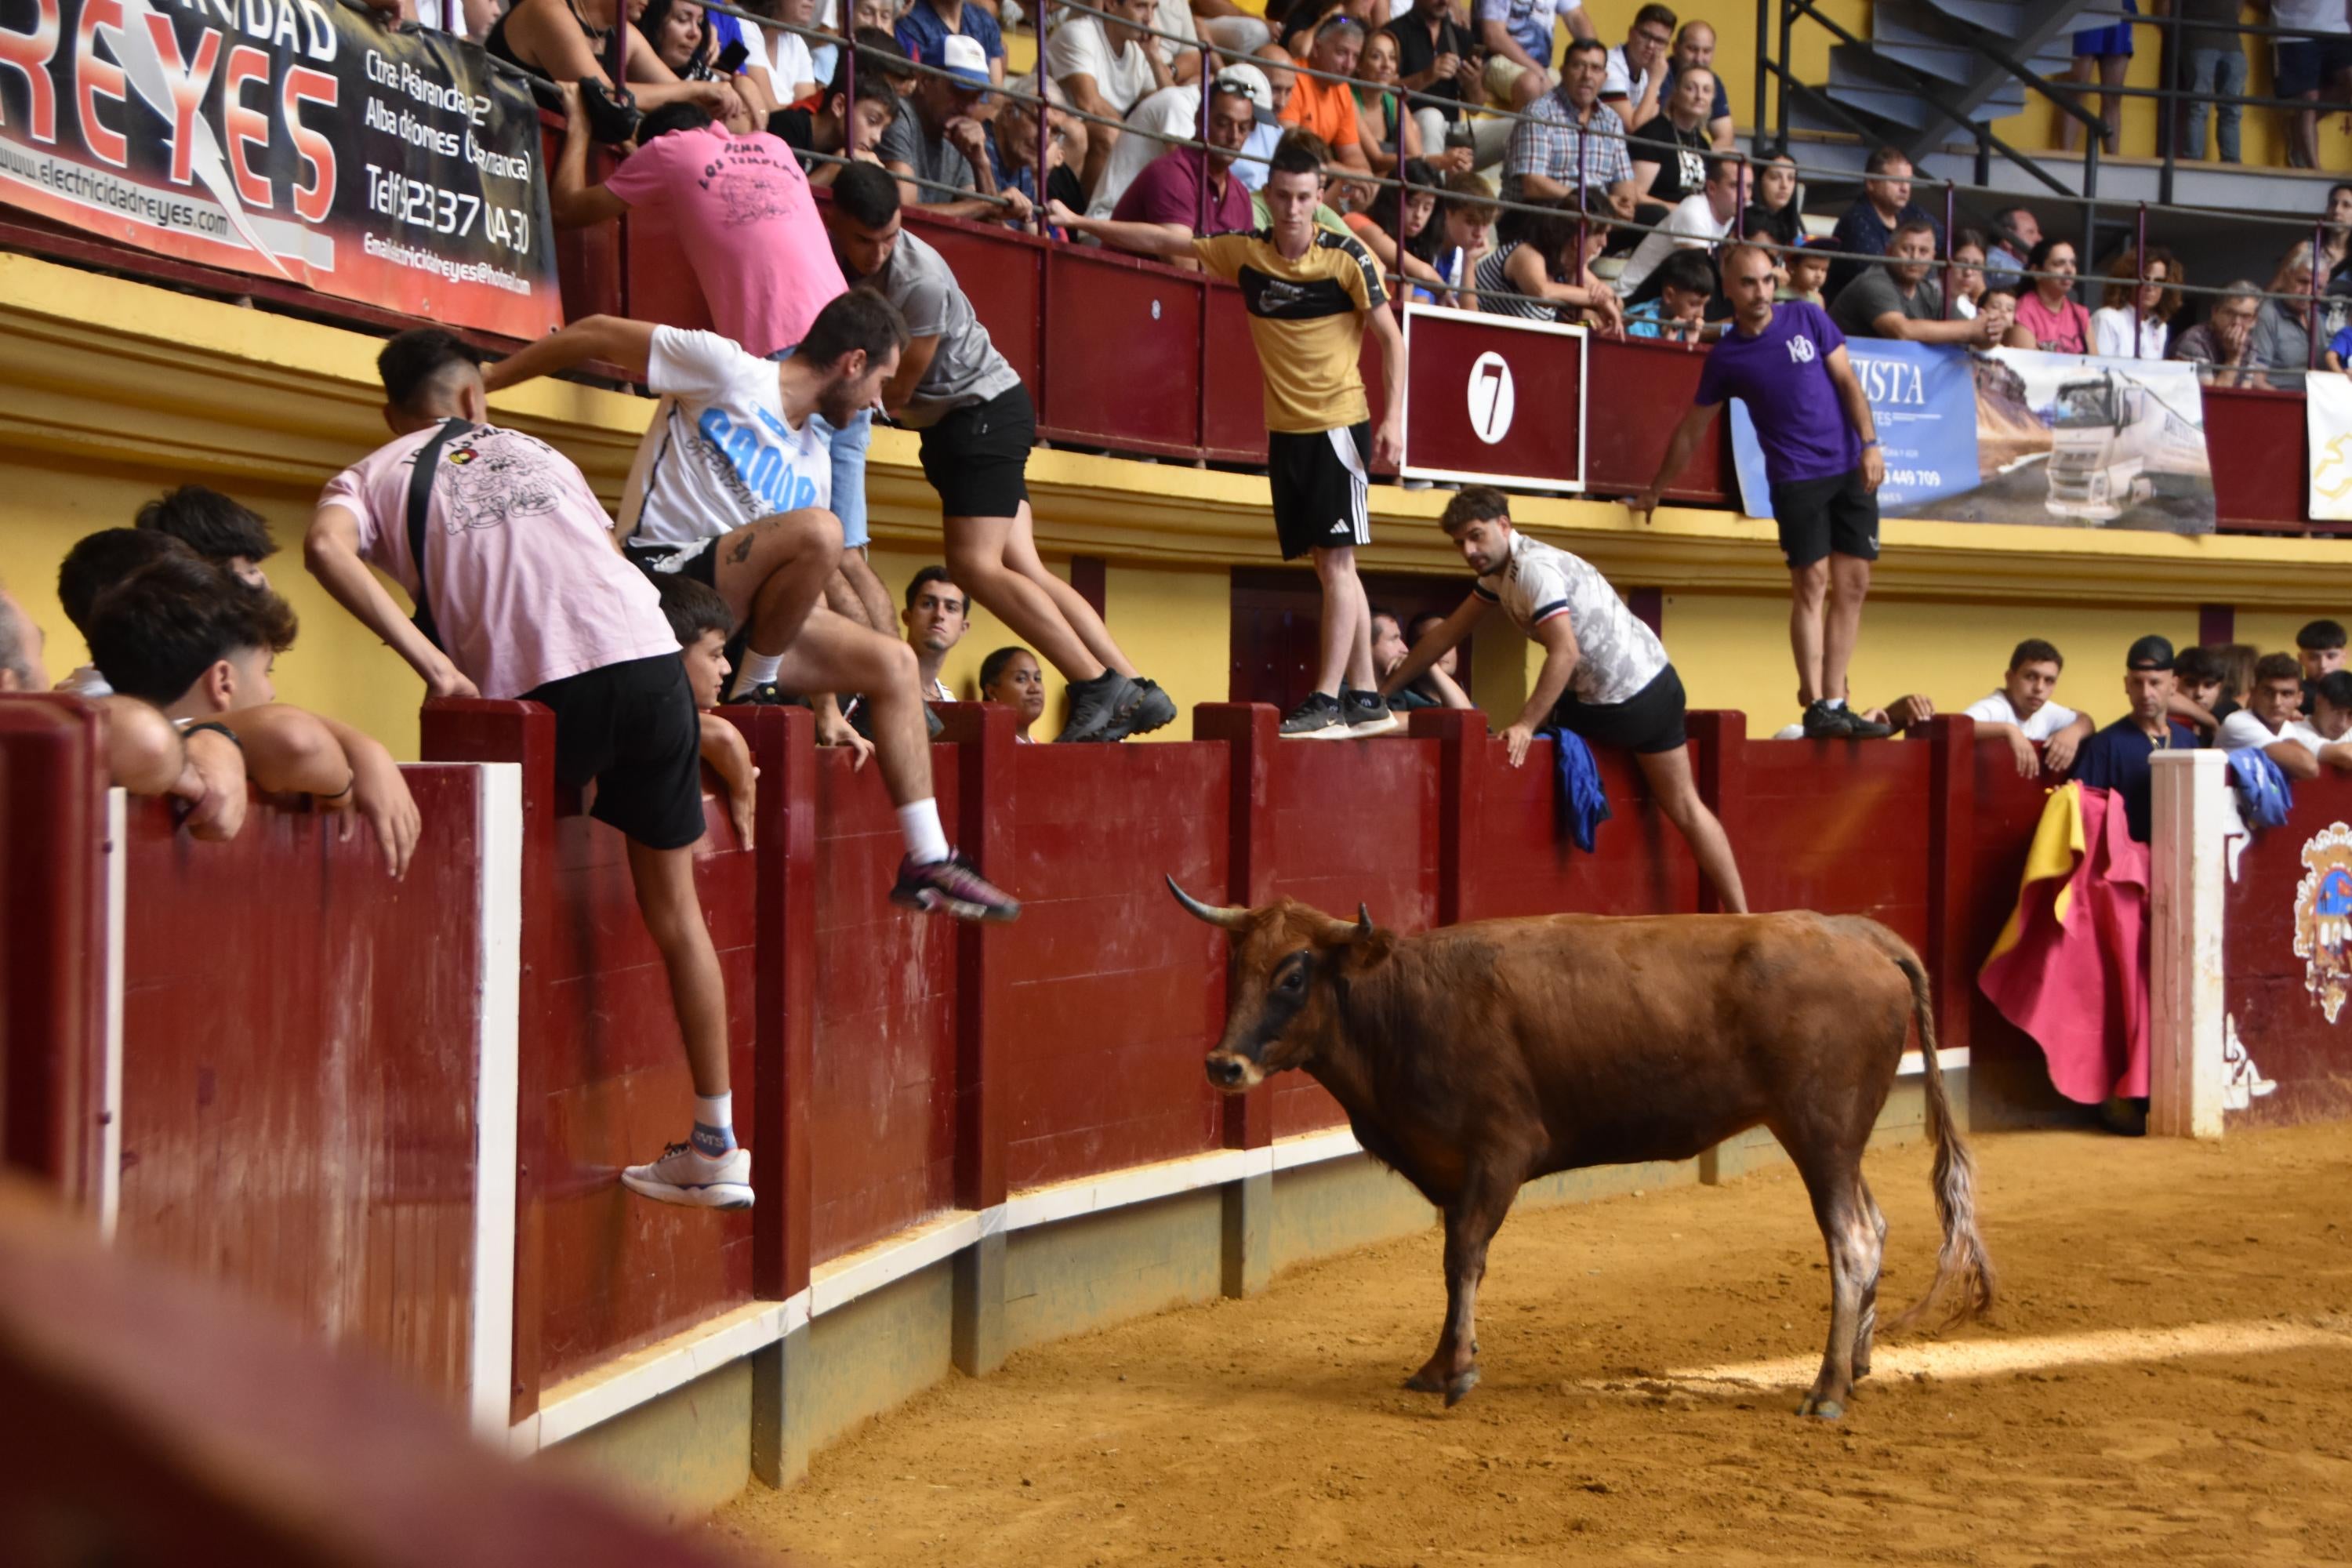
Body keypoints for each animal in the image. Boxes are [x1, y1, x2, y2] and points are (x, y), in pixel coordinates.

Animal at [1167, 884, 1994, 1420]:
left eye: (1294, 973)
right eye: (1237, 969)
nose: (1223, 1066)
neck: (1403, 1002)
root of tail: (1862, 935)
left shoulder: (1497, 1155)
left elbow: (1464, 1257)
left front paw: (1457, 1373)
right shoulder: (1453, 1171)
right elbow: (1453, 1263)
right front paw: (1440, 1363)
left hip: (1820, 1133)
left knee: (1850, 1238)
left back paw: (1824, 1390)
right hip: (1841, 1142)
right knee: (1875, 1226)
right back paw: (1856, 1368)